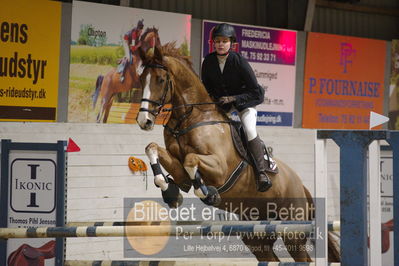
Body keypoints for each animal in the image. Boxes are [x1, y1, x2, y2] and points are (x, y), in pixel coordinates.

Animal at [135, 43, 340, 262]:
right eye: (141, 78)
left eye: (160, 79)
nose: (144, 121)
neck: (191, 118)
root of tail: (301, 186)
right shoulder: (181, 173)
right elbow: (152, 149)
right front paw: (170, 192)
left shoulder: (219, 169)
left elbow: (191, 160)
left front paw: (209, 194)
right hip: (256, 235)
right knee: (270, 257)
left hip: (292, 229)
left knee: (303, 257)